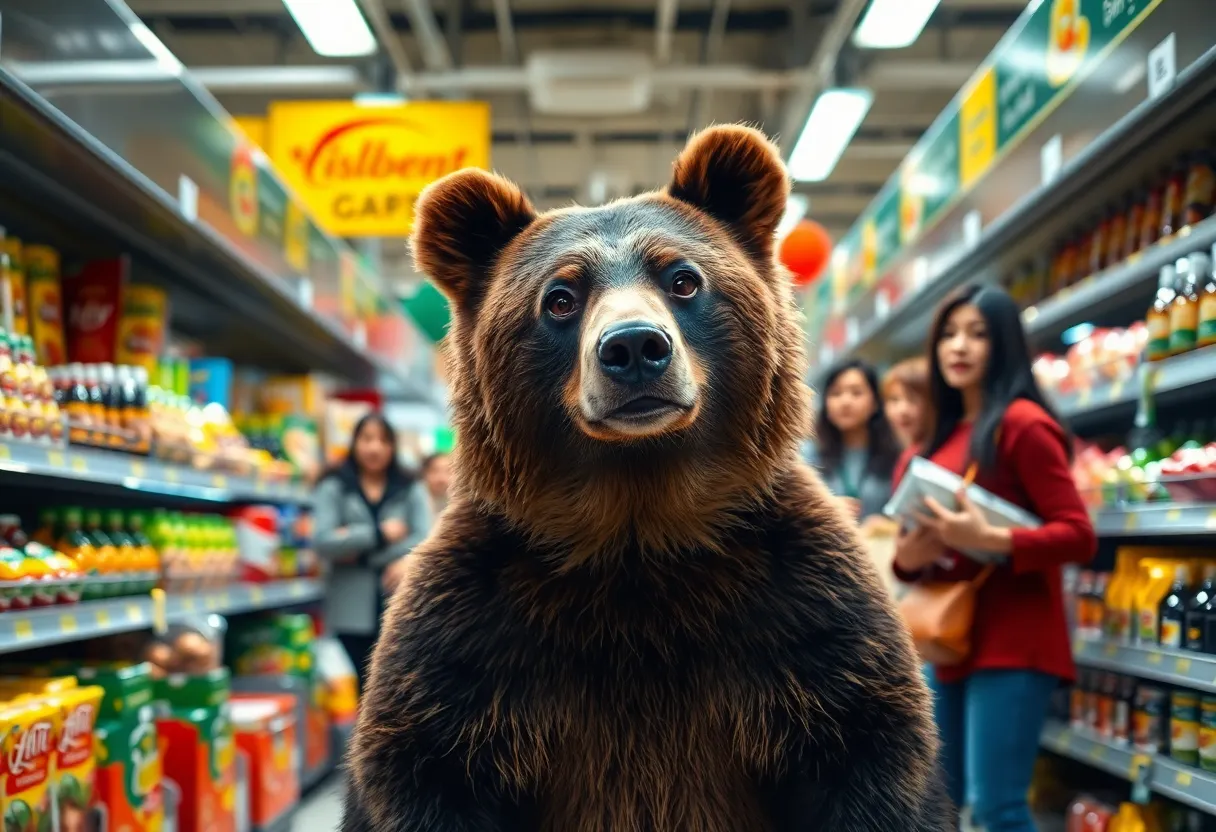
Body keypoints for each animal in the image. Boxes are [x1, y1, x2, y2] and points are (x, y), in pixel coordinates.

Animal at [341, 124, 951, 832]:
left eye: (683, 278)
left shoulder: (808, 623)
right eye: (560, 298)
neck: (639, 527)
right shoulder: (470, 645)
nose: (634, 347)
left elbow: (870, 753)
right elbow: (424, 766)